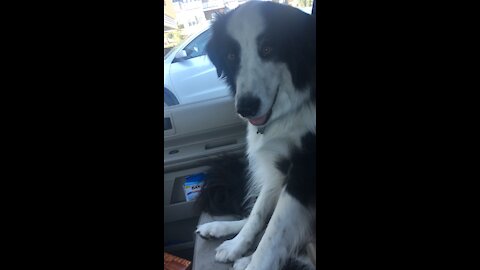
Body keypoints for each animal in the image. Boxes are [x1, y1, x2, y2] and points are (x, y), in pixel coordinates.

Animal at [195, 2, 316, 270]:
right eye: (231, 56)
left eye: (268, 48)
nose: (246, 107)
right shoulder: (277, 164)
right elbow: (260, 214)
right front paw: (236, 246)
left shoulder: (303, 172)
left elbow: (273, 234)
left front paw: (256, 262)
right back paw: (221, 230)